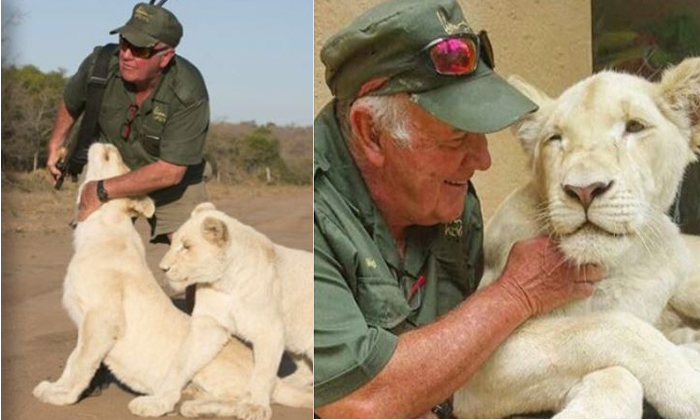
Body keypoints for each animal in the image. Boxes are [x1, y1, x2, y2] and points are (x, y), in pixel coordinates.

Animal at [127, 202, 314, 418]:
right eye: (173, 244)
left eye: (186, 247)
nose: (162, 268)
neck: (226, 283)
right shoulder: (209, 326)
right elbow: (180, 364)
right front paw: (156, 402)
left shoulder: (268, 329)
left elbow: (263, 371)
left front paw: (254, 406)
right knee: (305, 372)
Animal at [452, 57, 700, 418]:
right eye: (555, 139)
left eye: (634, 127)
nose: (584, 190)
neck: (614, 269)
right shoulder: (480, 364)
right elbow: (611, 331)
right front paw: (687, 383)